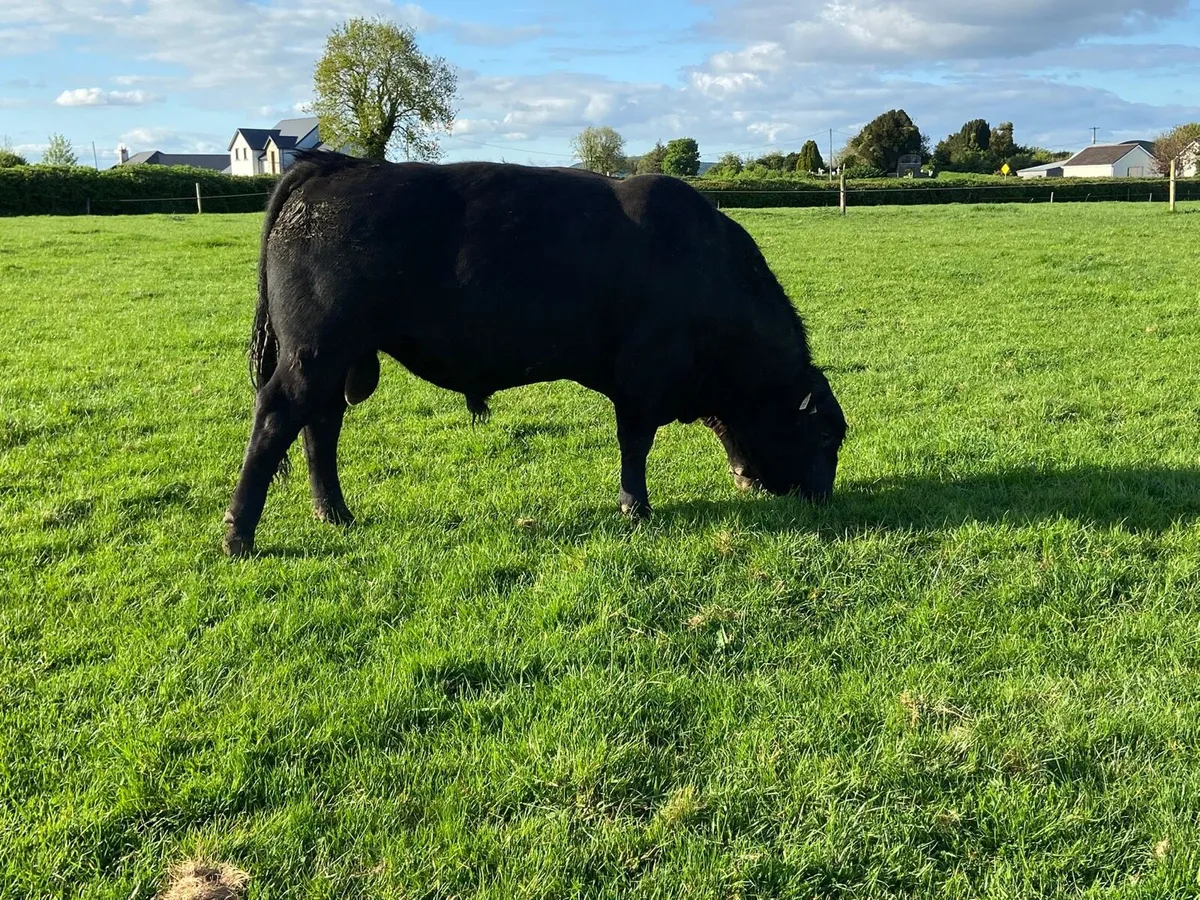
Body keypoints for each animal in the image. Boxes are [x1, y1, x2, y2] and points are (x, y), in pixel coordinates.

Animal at [223, 151, 846, 556]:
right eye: (826, 435)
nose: (824, 500)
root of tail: (334, 167)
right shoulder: (643, 379)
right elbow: (636, 444)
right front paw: (636, 507)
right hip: (312, 353)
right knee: (277, 418)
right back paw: (239, 534)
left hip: (335, 359)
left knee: (319, 428)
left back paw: (335, 513)